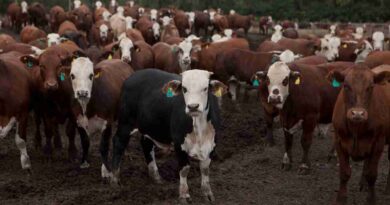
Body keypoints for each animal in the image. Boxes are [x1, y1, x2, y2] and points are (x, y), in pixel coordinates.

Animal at [108, 69, 227, 203]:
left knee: (146, 145)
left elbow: (205, 169)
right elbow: (184, 169)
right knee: (118, 143)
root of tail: (133, 75)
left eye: (205, 88)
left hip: (149, 126)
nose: (193, 106)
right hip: (126, 122)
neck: (199, 129)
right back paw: (115, 181)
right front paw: (184, 195)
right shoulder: (179, 143)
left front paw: (207, 194)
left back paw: (156, 177)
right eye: (184, 89)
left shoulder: (212, 143)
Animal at [330, 63, 390, 205]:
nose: (358, 114)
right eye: (346, 85)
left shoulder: (378, 142)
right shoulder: (338, 141)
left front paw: (371, 199)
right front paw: (341, 199)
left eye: (371, 86)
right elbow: (344, 173)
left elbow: (372, 174)